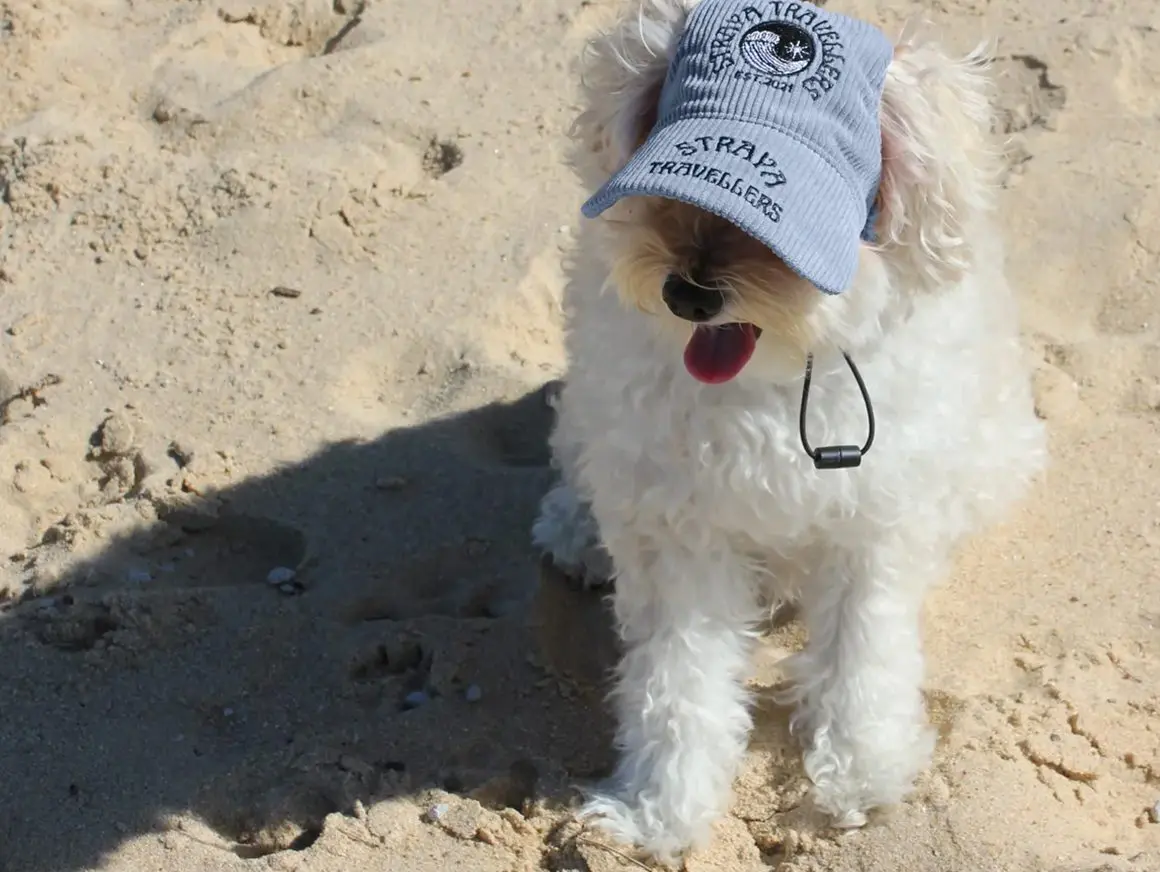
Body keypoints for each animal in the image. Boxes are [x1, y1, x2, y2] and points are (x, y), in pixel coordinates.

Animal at [531, 0, 1048, 858]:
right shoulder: (677, 531)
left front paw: (863, 770)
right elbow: (677, 685)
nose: (689, 292)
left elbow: (864, 654)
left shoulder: (873, 523)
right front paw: (656, 810)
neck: (775, 372)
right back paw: (575, 529)